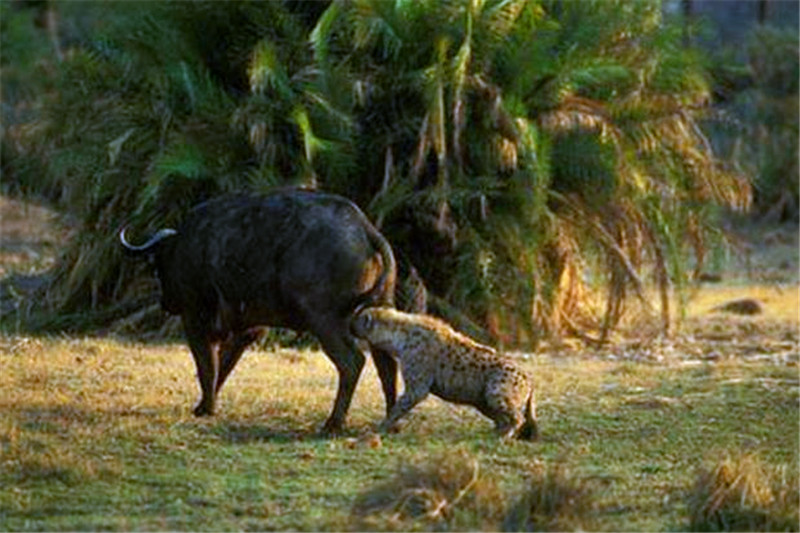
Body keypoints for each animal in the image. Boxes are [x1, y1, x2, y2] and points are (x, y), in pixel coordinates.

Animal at [121, 190, 400, 432]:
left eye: (157, 265)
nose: (165, 302)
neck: (188, 245)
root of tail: (364, 228)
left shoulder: (195, 319)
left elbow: (206, 364)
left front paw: (205, 408)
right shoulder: (248, 328)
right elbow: (224, 364)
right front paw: (208, 404)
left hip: (325, 321)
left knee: (352, 362)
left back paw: (333, 422)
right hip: (379, 313)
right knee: (386, 363)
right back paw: (392, 421)